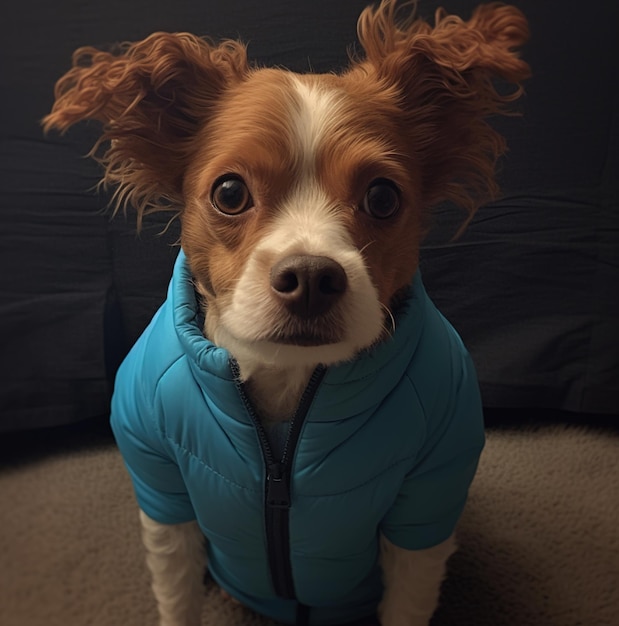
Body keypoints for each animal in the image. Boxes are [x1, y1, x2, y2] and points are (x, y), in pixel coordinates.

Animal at [43, 1, 532, 624]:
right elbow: (177, 596)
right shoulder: (162, 495)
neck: (284, 383)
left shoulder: (428, 506)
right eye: (229, 192)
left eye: (383, 197)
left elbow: (406, 601)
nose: (311, 279)